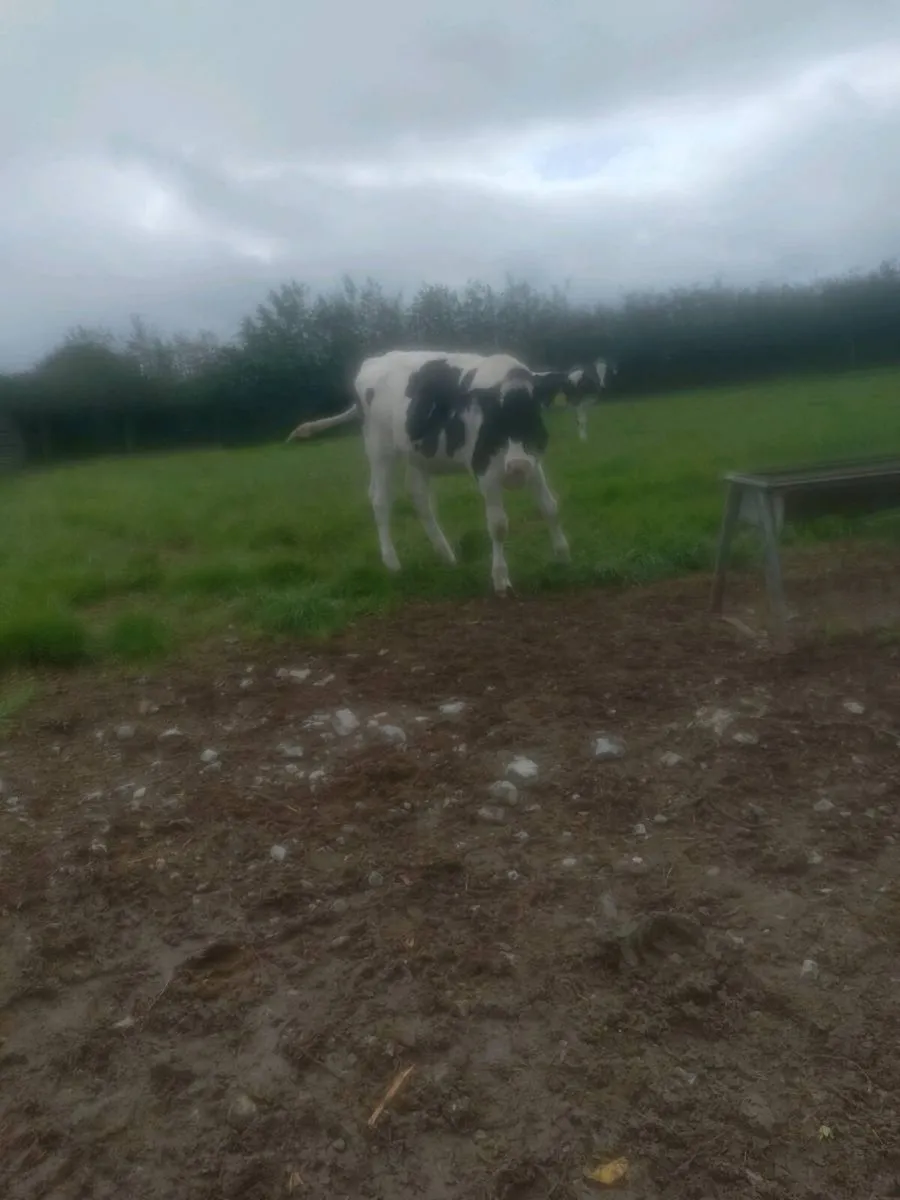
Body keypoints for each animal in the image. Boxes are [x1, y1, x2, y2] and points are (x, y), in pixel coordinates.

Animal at [285, 349, 569, 595]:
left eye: (534, 411)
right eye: (494, 415)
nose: (517, 466)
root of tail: (373, 361)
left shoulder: (533, 463)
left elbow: (551, 507)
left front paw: (562, 555)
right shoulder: (485, 471)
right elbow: (498, 525)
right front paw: (500, 578)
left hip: (417, 456)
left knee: (419, 497)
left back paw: (446, 555)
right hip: (379, 449)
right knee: (380, 499)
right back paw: (392, 562)